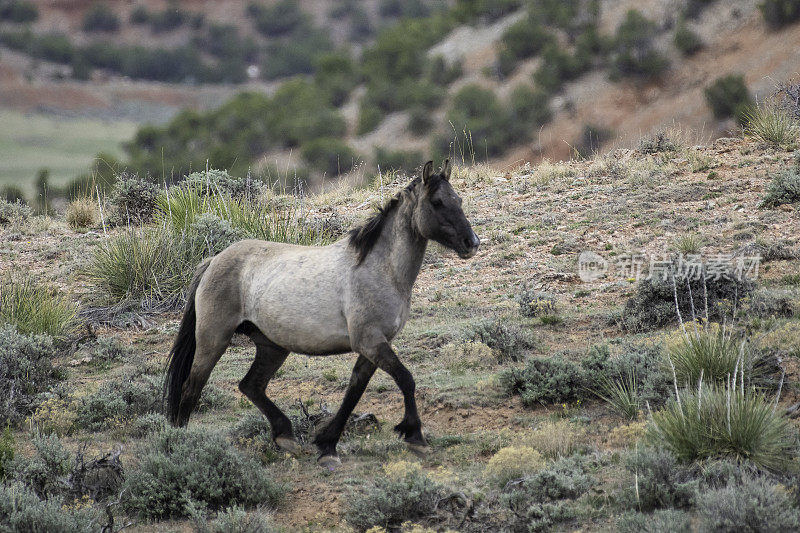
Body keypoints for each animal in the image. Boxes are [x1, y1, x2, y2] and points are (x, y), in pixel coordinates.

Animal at [160, 159, 478, 466]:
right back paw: (181, 445)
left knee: (251, 386)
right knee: (191, 389)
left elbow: (354, 390)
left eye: (459, 199)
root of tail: (213, 261)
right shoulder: (371, 342)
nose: (471, 243)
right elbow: (405, 379)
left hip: (272, 346)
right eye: (437, 202)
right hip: (213, 339)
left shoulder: (373, 346)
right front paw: (415, 438)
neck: (380, 269)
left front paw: (327, 445)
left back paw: (285, 437)